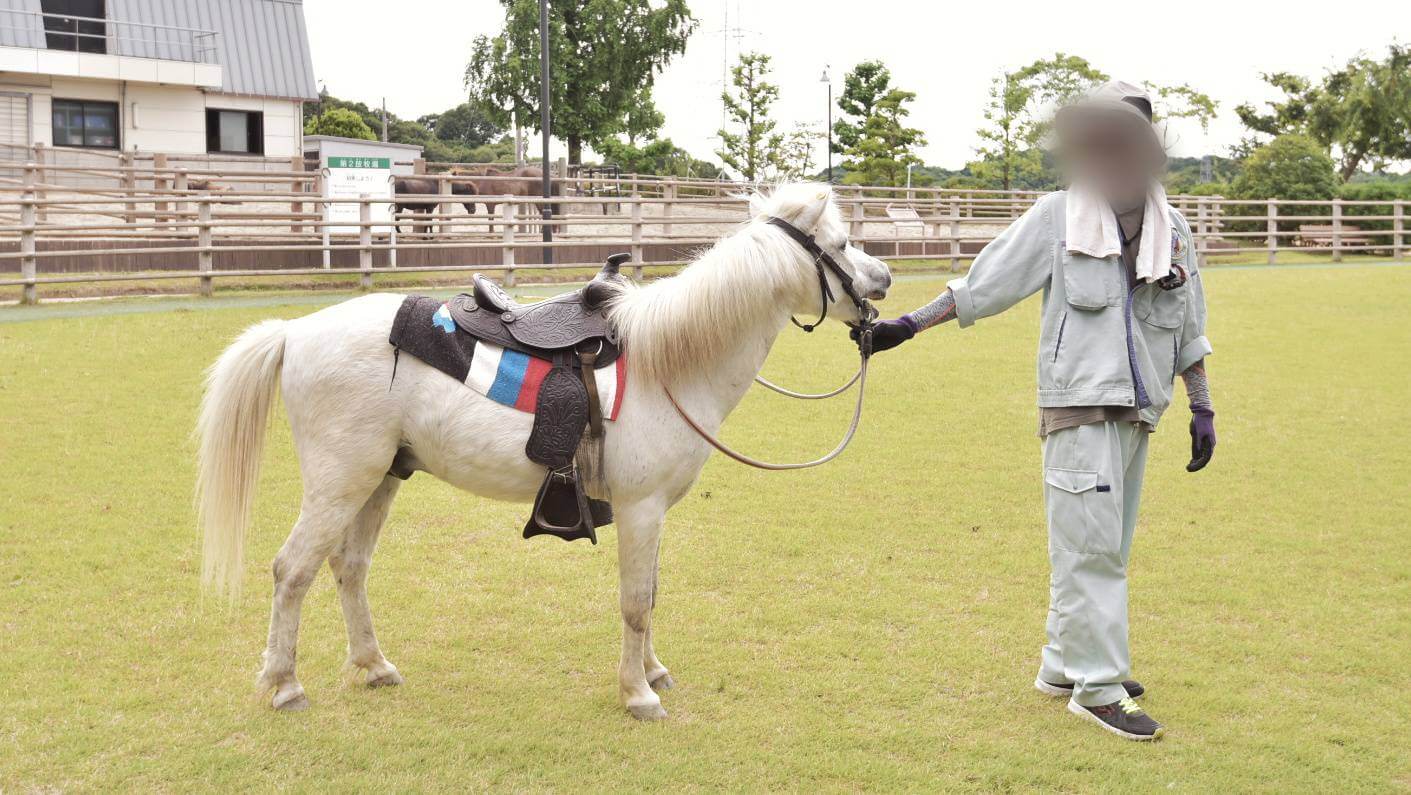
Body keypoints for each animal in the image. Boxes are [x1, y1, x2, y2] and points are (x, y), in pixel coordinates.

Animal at [195, 182, 891, 719]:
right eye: (838, 245)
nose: (883, 278)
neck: (669, 359)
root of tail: (296, 332)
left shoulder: (654, 513)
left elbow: (651, 594)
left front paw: (654, 672)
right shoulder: (640, 508)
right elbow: (634, 602)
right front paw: (638, 694)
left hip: (381, 478)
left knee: (350, 567)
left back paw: (373, 665)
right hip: (340, 480)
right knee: (292, 569)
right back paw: (285, 685)